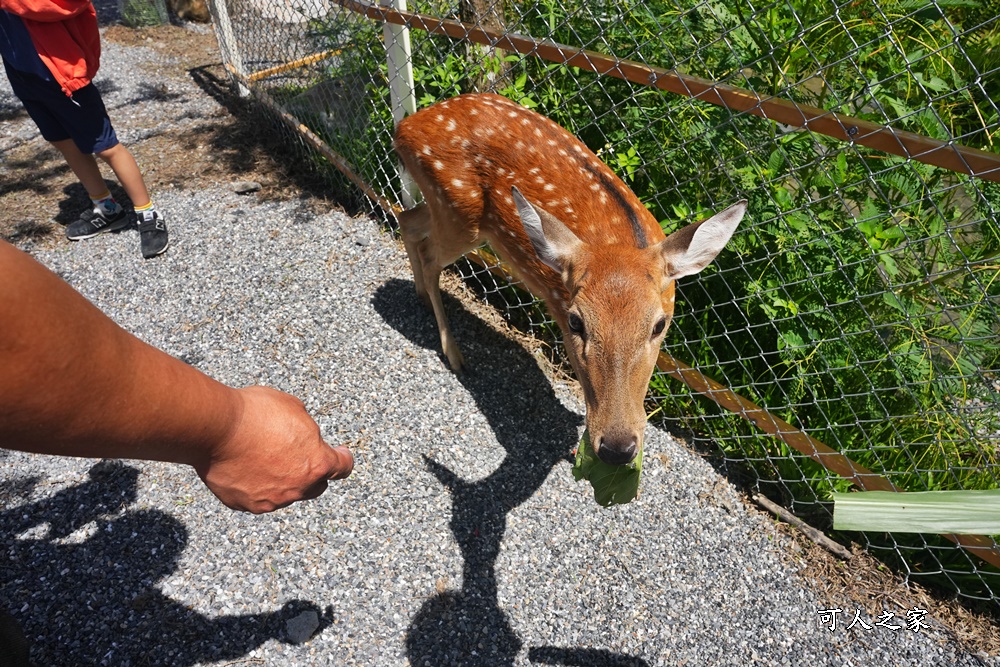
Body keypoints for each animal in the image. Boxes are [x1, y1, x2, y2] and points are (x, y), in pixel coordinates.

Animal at [394, 95, 748, 464]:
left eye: (660, 325)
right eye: (576, 321)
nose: (618, 449)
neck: (623, 243)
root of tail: (403, 128)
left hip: (452, 213)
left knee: (408, 221)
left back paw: (420, 295)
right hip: (458, 212)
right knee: (429, 253)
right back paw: (454, 353)